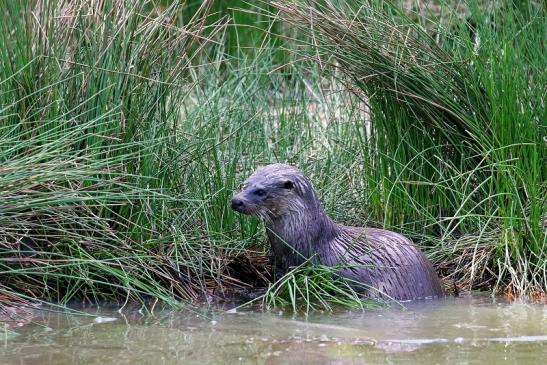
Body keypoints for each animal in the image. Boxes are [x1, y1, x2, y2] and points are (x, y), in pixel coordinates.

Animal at [231, 164, 446, 300]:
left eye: (260, 191)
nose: (236, 200)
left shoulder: (304, 265)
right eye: (244, 184)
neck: (303, 237)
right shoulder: (281, 262)